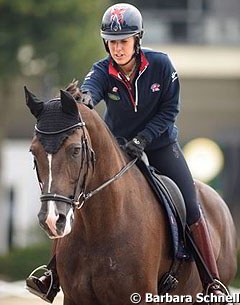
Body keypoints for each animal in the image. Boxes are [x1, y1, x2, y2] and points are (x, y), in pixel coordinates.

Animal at [24, 83, 236, 304]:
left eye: (75, 150)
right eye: (33, 151)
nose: (51, 219)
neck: (99, 226)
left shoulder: (139, 296)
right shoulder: (75, 298)